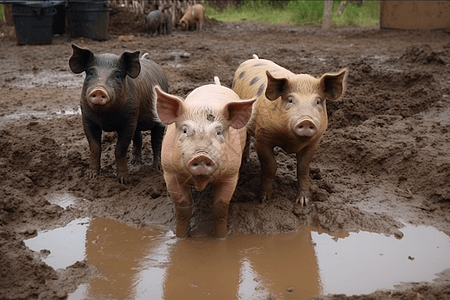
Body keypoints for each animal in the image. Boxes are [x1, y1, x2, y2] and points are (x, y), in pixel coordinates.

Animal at [68, 42, 169, 183]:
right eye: (90, 73)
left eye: (117, 75)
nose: (99, 90)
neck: (105, 117)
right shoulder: (87, 119)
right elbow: (94, 147)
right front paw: (92, 176)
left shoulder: (128, 121)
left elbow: (120, 148)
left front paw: (124, 181)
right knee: (138, 137)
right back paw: (134, 162)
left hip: (159, 118)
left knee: (157, 142)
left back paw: (157, 168)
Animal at [155, 78, 255, 239]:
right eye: (184, 130)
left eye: (218, 132)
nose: (201, 156)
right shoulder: (170, 172)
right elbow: (183, 208)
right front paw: (180, 238)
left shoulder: (231, 174)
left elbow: (220, 209)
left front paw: (222, 238)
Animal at [232, 55, 348, 206]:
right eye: (290, 100)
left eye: (318, 101)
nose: (306, 120)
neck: (292, 141)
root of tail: (252, 59)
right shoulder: (262, 138)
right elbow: (270, 166)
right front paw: (264, 199)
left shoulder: (313, 143)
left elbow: (303, 168)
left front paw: (303, 202)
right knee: (246, 138)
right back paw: (245, 161)